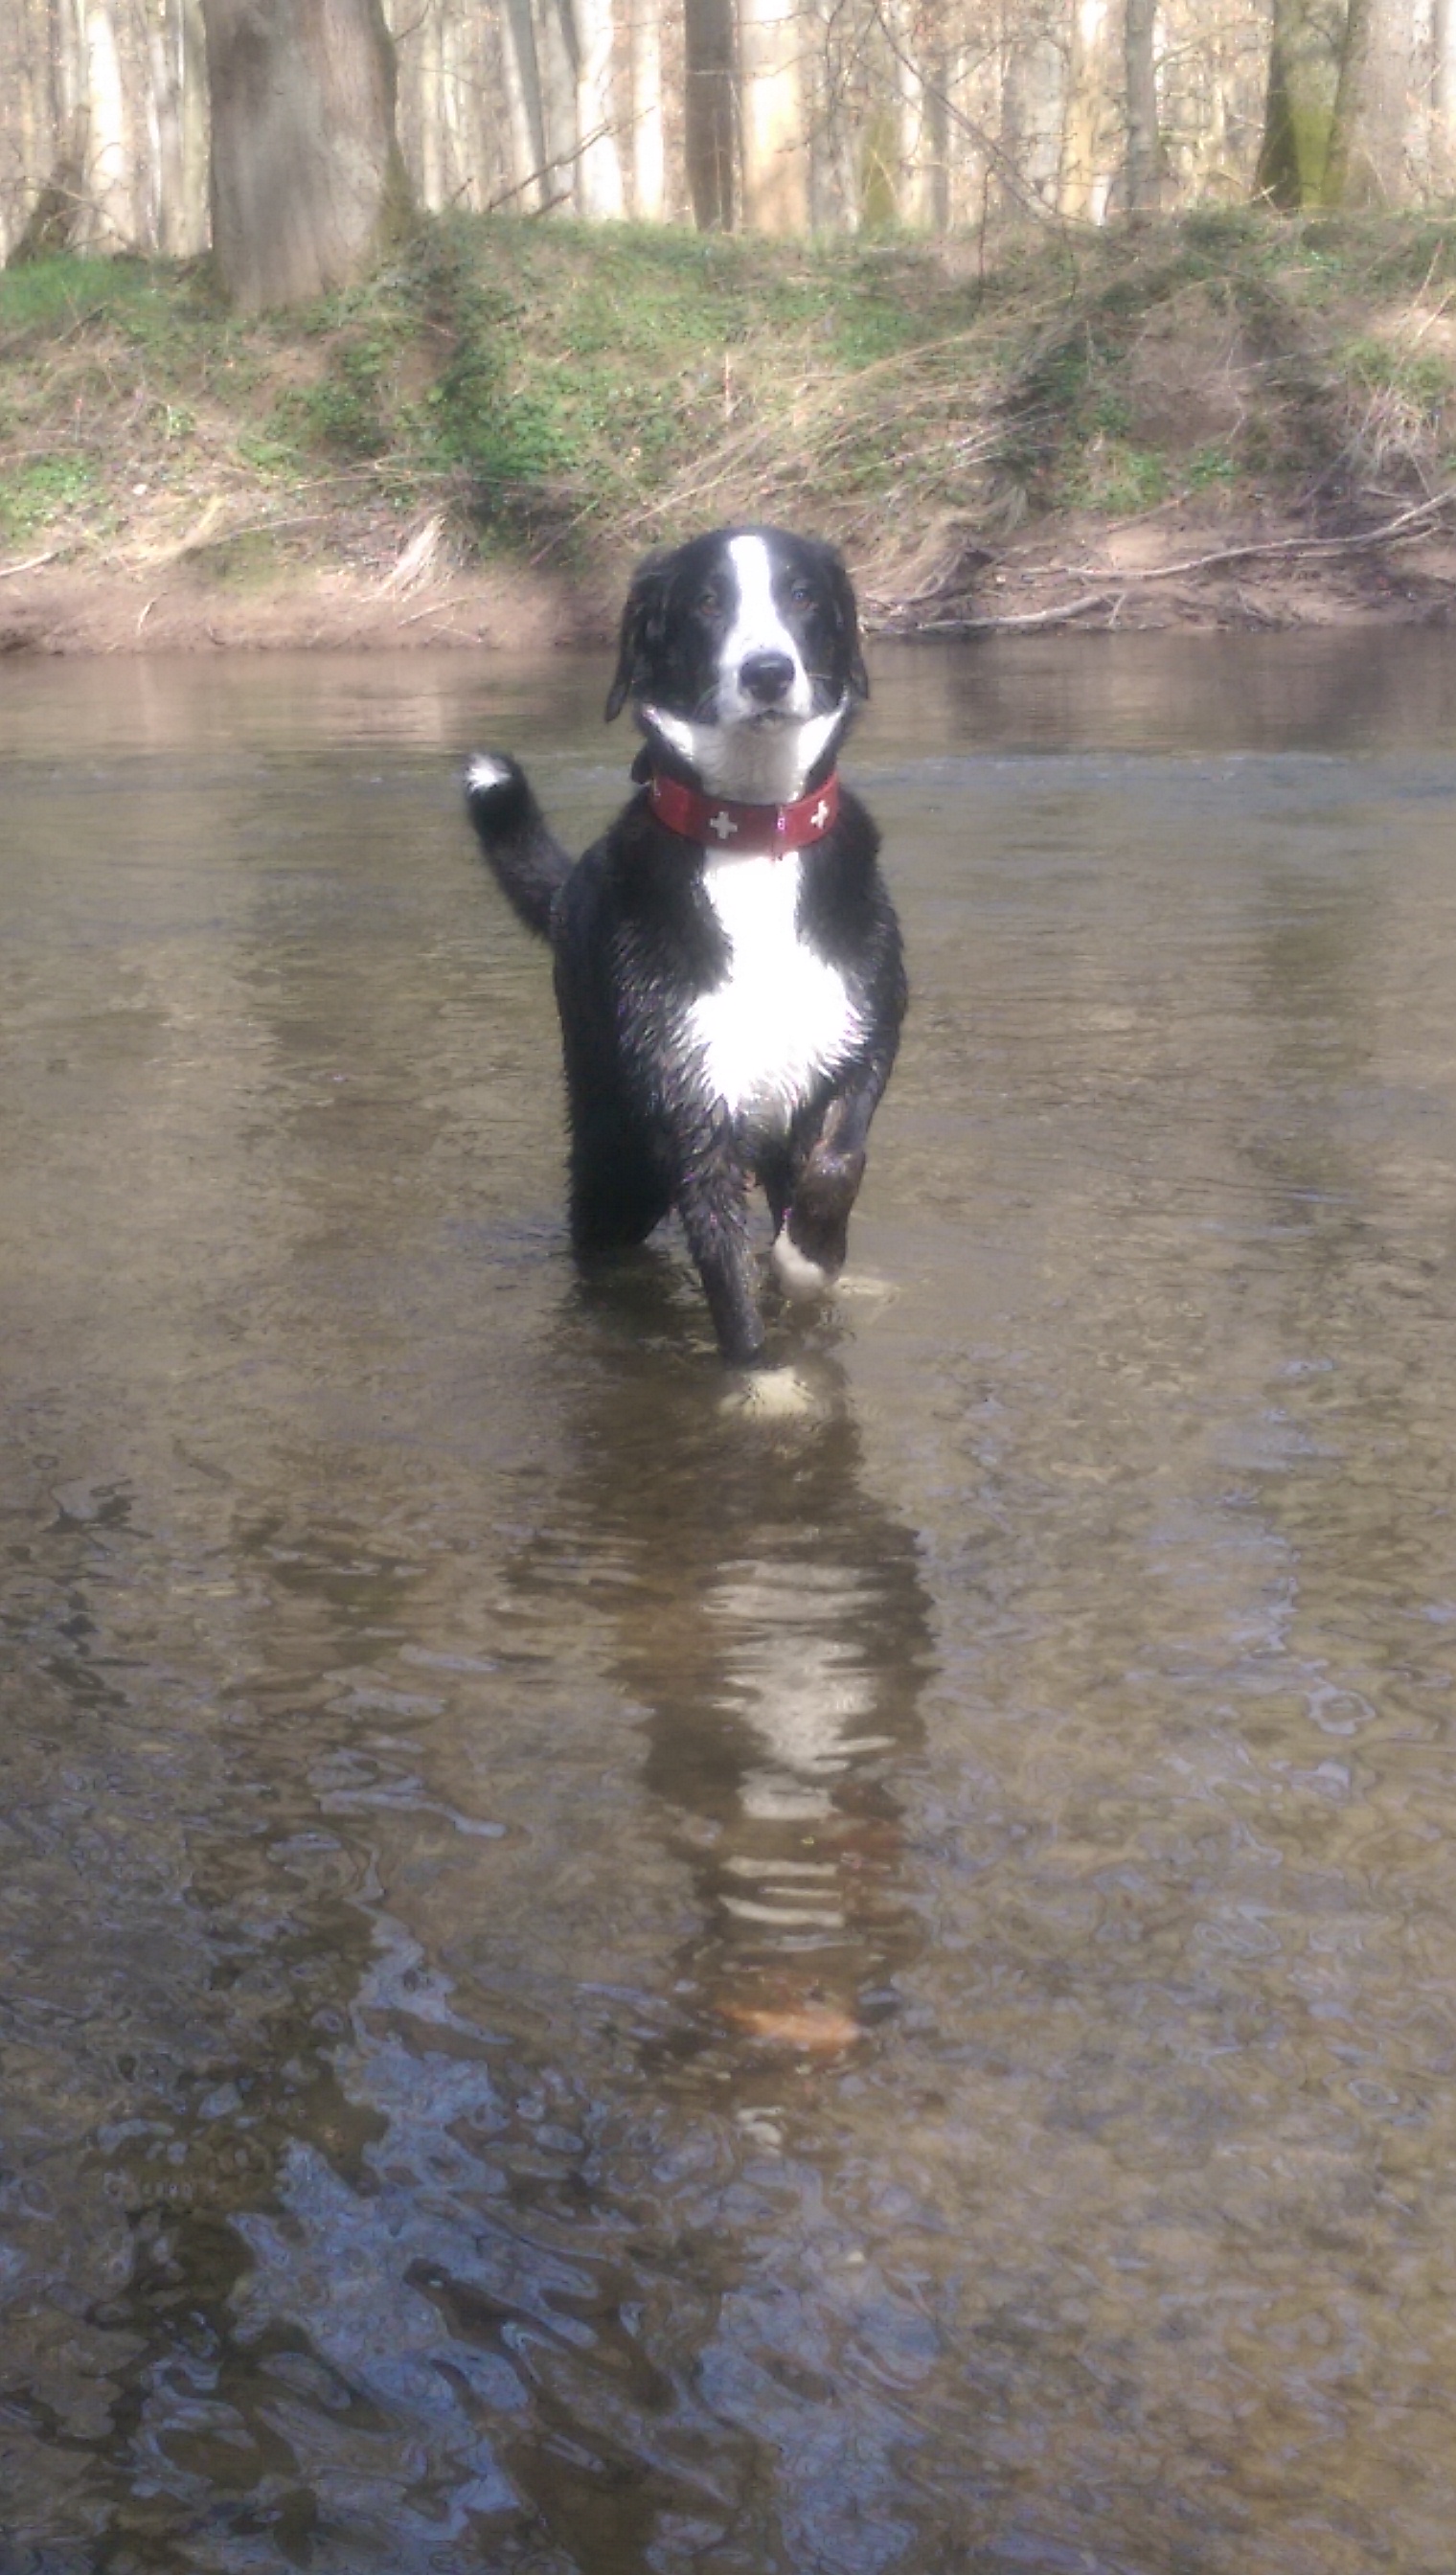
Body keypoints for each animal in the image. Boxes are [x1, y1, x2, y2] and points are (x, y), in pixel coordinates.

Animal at [464, 522, 897, 1370]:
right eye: (705, 601)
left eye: (802, 594)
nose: (768, 672)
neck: (754, 836)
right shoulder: (691, 1106)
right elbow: (728, 1284)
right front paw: (762, 1381)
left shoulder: (859, 1038)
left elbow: (841, 1157)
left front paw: (812, 1256)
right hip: (617, 1153)